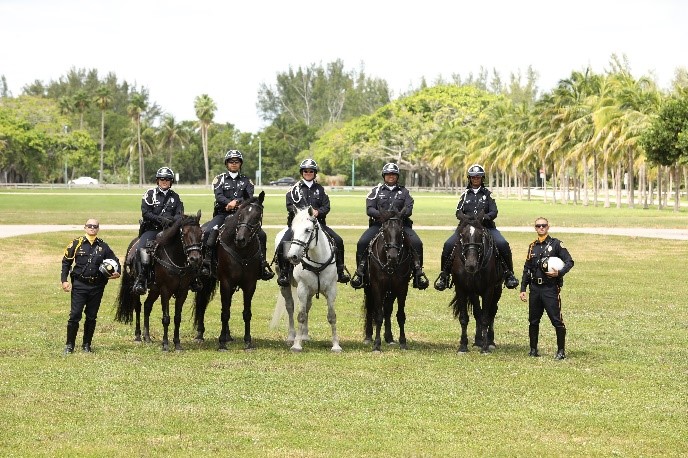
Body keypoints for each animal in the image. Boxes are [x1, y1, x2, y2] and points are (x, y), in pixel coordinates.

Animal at [113, 211, 203, 350]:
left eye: (201, 233)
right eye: (184, 233)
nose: (195, 258)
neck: (175, 258)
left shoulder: (182, 291)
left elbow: (177, 317)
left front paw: (177, 343)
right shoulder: (165, 291)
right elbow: (166, 318)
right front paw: (165, 344)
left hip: (155, 290)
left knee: (147, 306)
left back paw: (147, 337)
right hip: (136, 288)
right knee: (138, 307)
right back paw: (138, 336)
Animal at [195, 191, 268, 348]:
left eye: (257, 216)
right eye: (240, 215)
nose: (240, 239)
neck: (242, 251)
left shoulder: (250, 284)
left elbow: (246, 313)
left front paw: (248, 341)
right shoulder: (226, 282)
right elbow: (225, 313)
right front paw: (222, 343)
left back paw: (228, 335)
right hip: (206, 280)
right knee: (202, 303)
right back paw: (200, 334)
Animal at [270, 208, 342, 354]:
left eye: (308, 230)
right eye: (293, 230)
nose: (292, 256)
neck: (317, 260)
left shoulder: (331, 290)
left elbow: (332, 316)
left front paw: (336, 345)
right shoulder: (302, 289)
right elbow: (301, 315)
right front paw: (296, 345)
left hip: (311, 291)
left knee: (308, 307)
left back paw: (305, 335)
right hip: (286, 287)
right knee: (290, 307)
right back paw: (292, 336)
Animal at [362, 209, 412, 352]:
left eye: (401, 230)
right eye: (384, 230)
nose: (393, 257)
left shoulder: (402, 287)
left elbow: (400, 315)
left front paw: (403, 342)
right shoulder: (377, 286)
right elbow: (378, 315)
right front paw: (376, 344)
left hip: (391, 290)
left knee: (388, 310)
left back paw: (389, 338)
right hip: (368, 288)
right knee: (370, 308)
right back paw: (368, 337)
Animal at [448, 211, 502, 354]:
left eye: (481, 235)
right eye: (462, 235)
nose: (471, 265)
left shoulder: (489, 289)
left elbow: (485, 317)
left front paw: (485, 347)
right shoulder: (464, 289)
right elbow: (465, 318)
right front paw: (463, 346)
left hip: (497, 290)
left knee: (492, 312)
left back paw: (490, 341)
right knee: (478, 313)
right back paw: (478, 341)